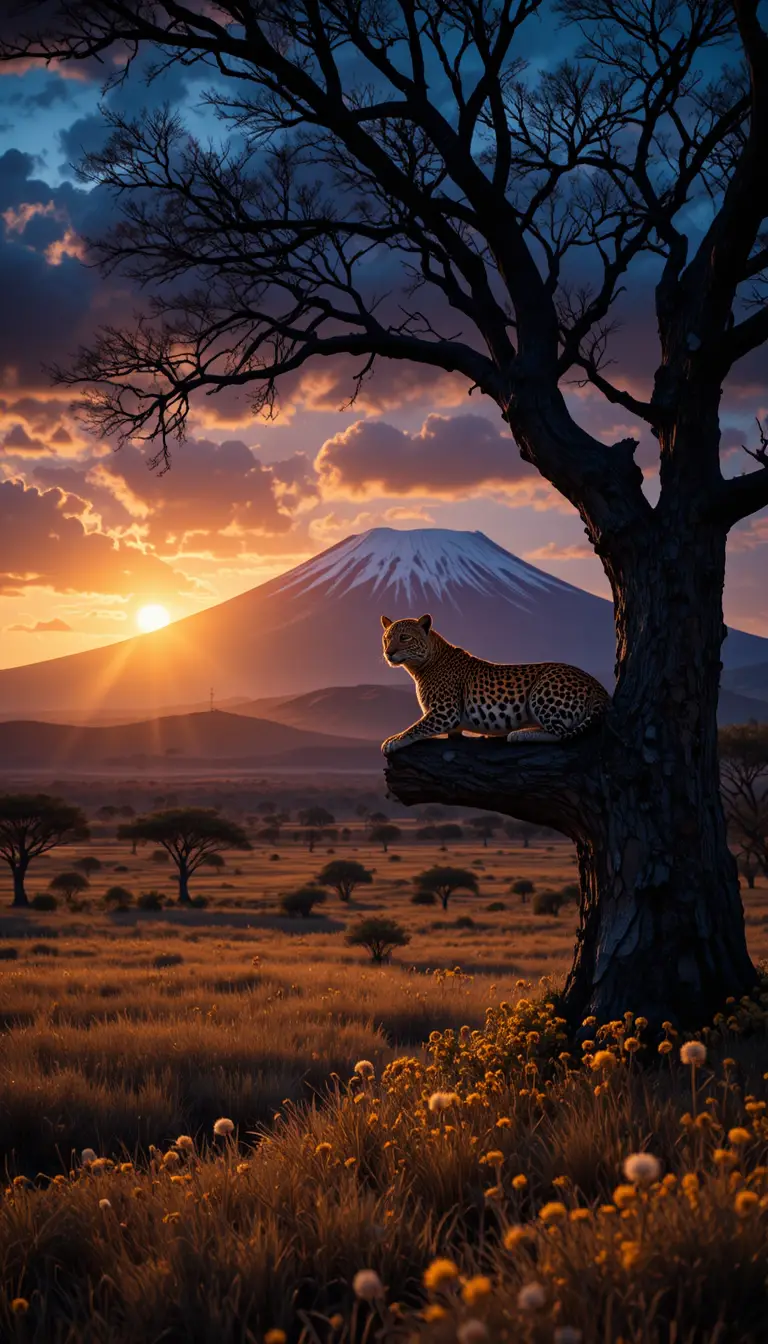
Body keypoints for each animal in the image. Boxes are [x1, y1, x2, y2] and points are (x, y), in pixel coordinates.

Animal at [380, 613, 610, 754]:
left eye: (404, 637)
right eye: (386, 638)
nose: (388, 652)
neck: (420, 667)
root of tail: (597, 685)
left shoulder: (446, 713)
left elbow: (416, 726)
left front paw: (393, 740)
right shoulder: (450, 723)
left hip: (543, 689)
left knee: (561, 734)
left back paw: (521, 734)